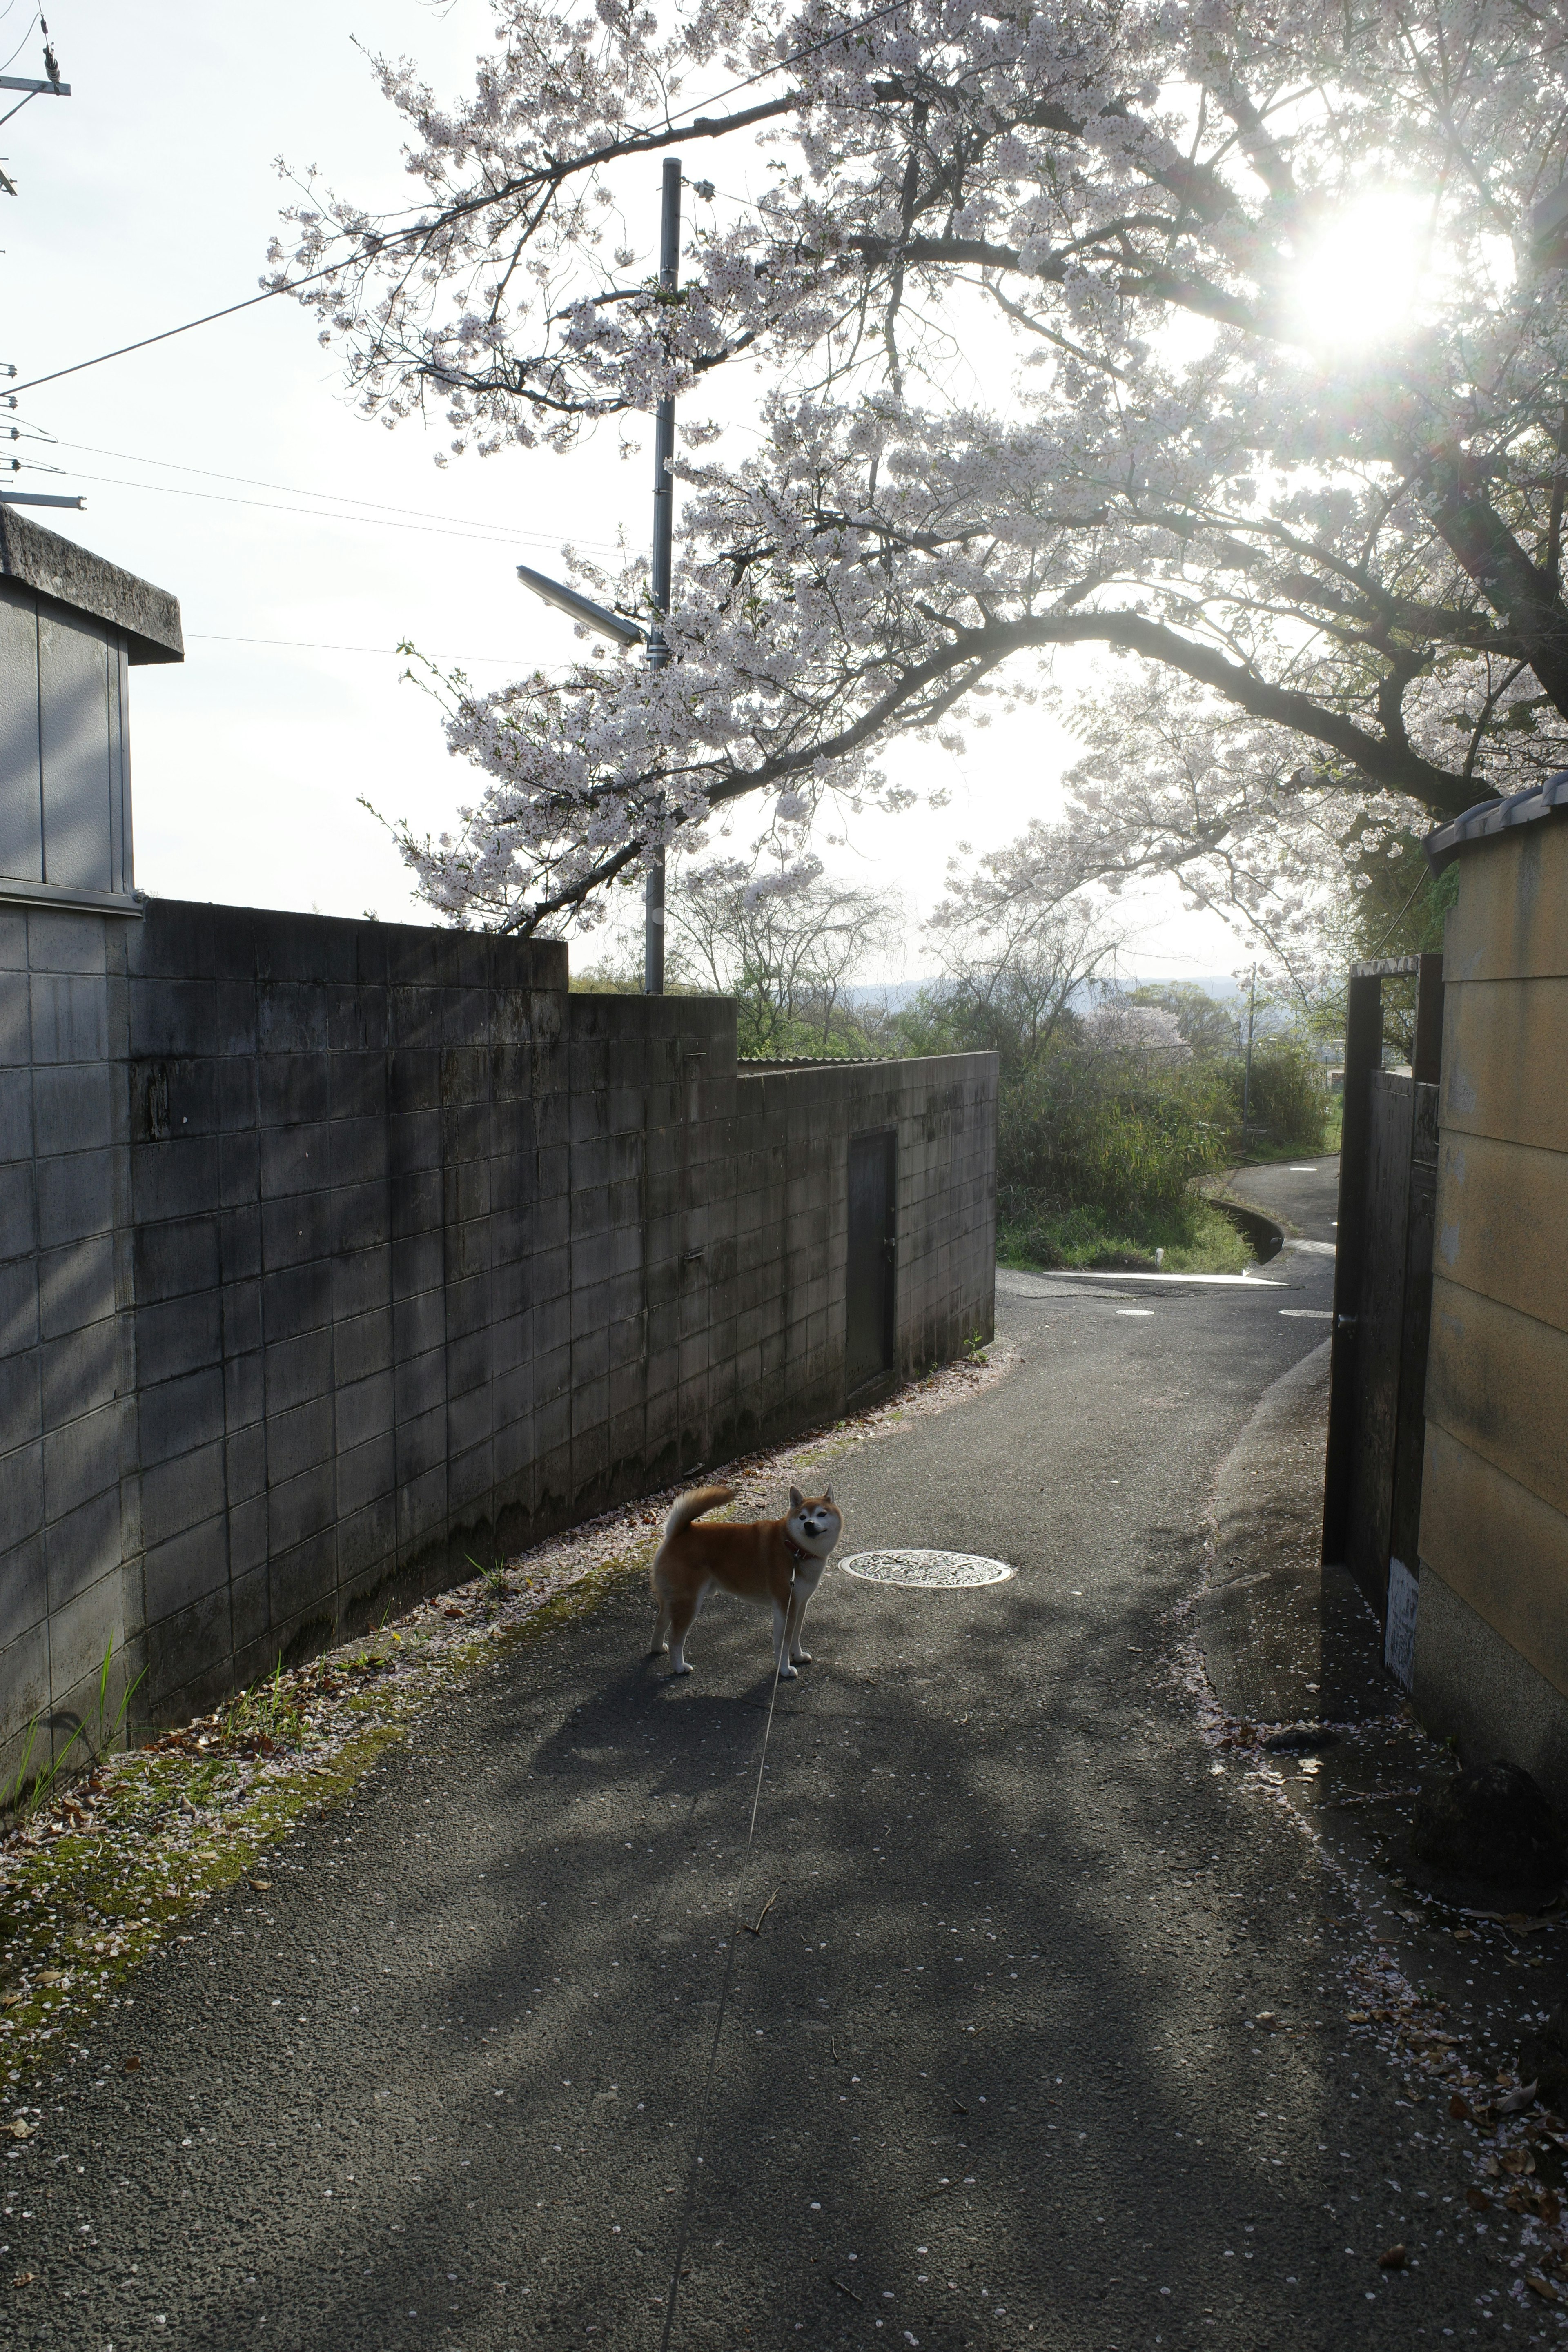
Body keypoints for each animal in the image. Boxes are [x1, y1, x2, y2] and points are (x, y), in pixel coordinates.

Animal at [648, 1477, 846, 1684]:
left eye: (822, 1514)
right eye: (802, 1517)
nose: (808, 1524)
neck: (795, 1548)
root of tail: (676, 1534)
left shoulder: (800, 1604)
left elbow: (796, 1634)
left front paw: (798, 1656)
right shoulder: (786, 1607)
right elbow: (783, 1644)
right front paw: (784, 1669)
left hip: (674, 1598)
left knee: (660, 1622)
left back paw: (658, 1648)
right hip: (689, 1602)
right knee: (676, 1638)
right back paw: (679, 1667)